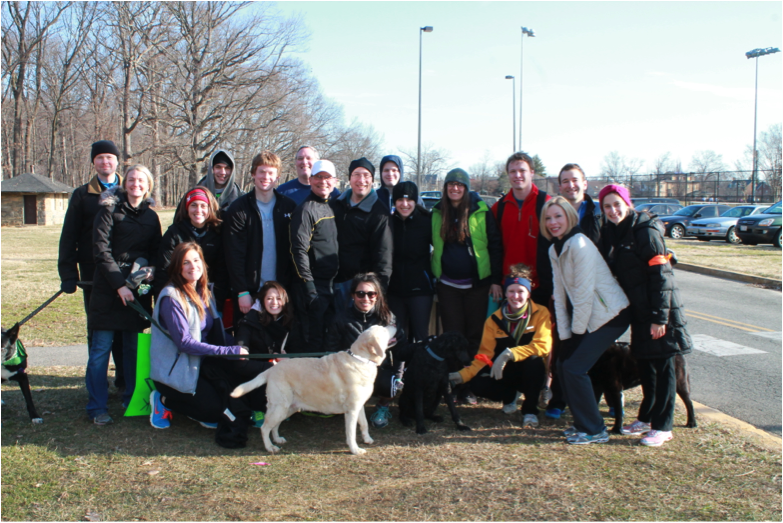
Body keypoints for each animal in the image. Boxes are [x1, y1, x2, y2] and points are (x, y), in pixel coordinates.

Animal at [231, 324, 396, 455]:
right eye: (384, 329)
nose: (394, 324)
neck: (360, 359)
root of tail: (271, 369)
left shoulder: (359, 406)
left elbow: (364, 424)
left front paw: (367, 439)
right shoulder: (351, 410)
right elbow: (351, 433)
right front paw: (355, 450)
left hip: (287, 408)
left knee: (274, 426)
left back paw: (277, 439)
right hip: (280, 407)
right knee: (265, 427)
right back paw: (270, 447)